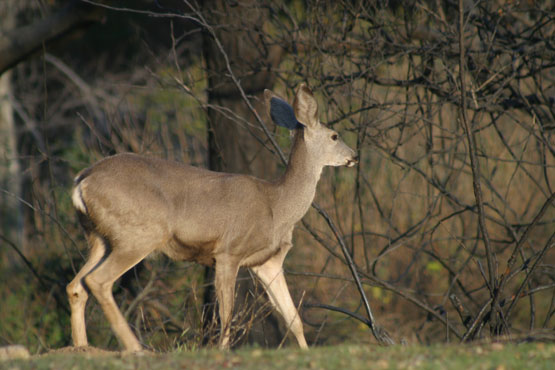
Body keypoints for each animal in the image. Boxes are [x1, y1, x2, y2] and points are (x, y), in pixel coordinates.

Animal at [67, 84, 358, 352]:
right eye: (334, 135)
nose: (355, 155)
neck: (278, 206)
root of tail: (82, 181)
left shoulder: (268, 262)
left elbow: (293, 318)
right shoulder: (228, 251)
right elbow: (226, 317)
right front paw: (221, 351)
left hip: (100, 237)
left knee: (76, 285)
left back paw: (82, 348)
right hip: (139, 234)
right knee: (97, 281)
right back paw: (134, 347)